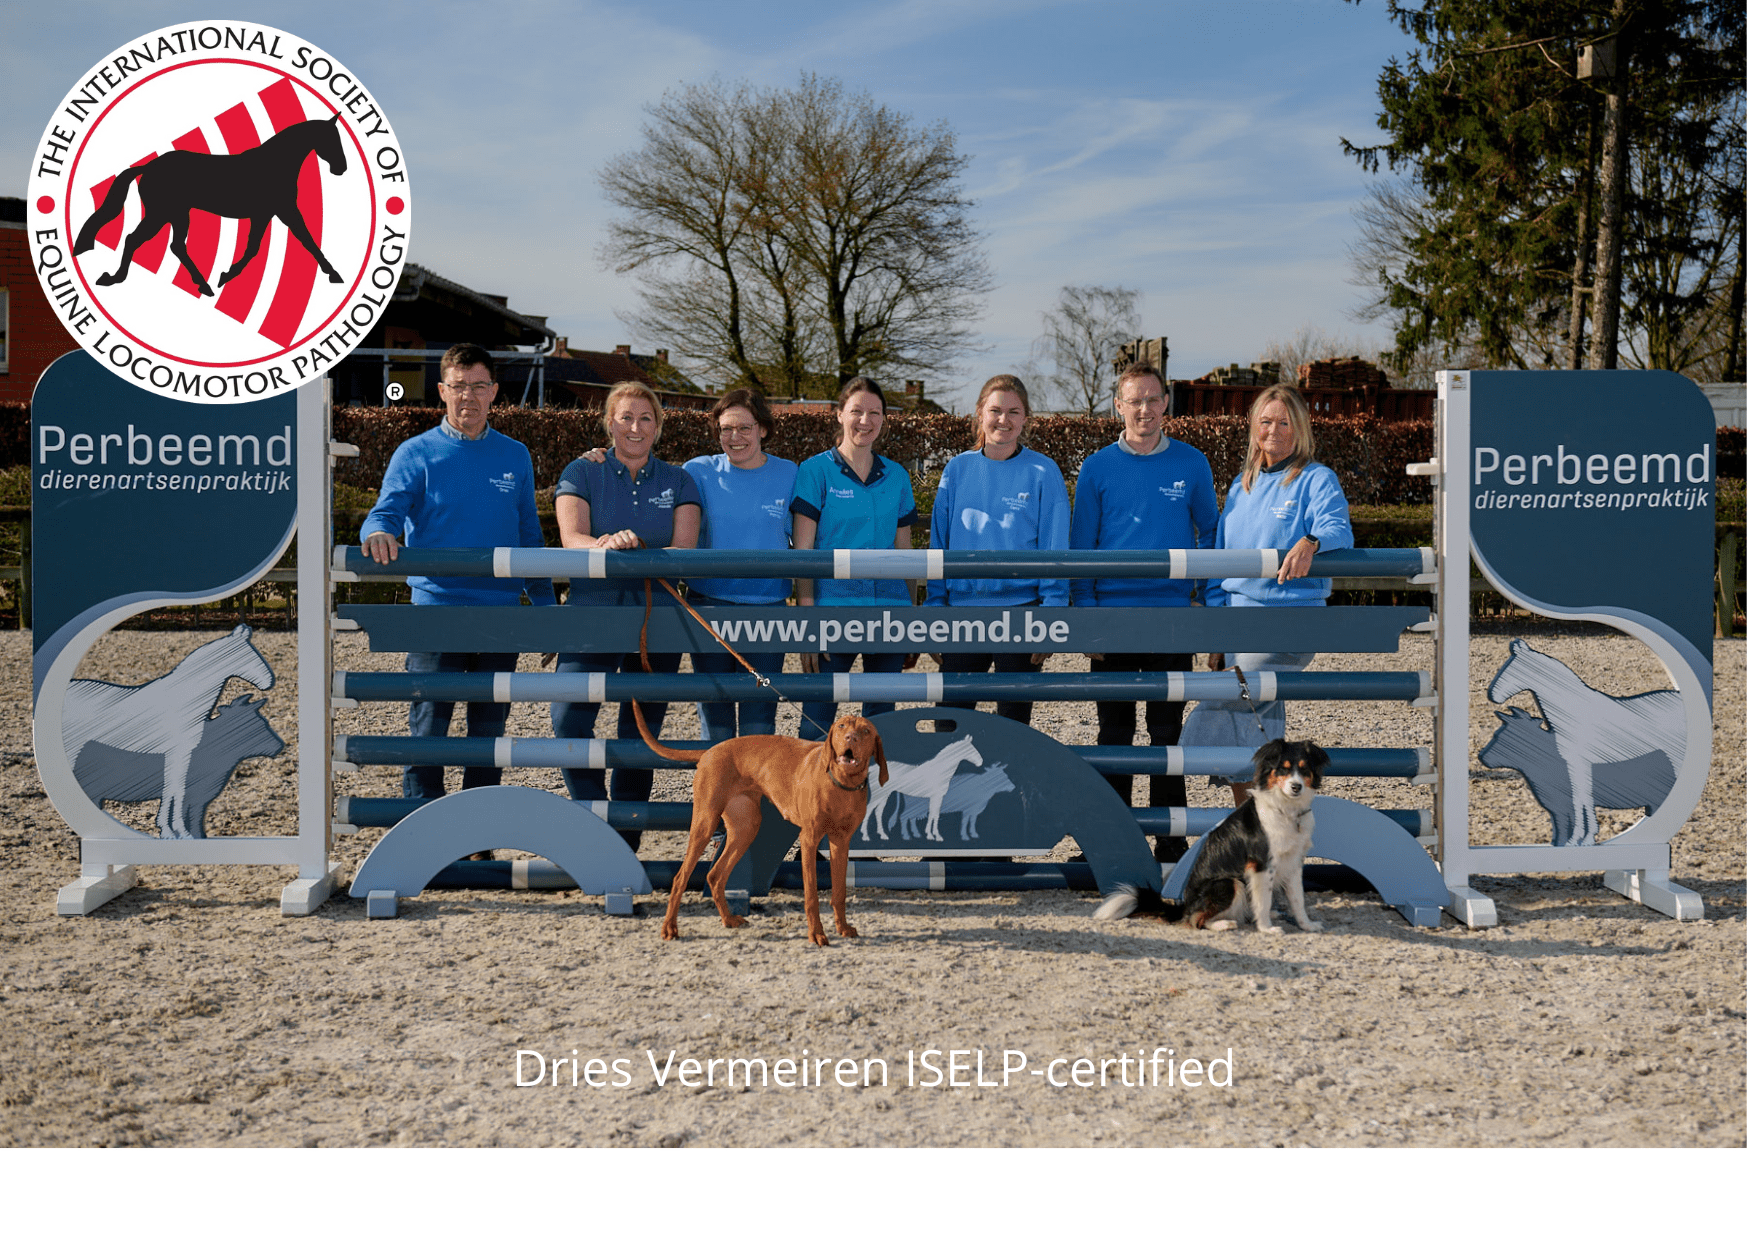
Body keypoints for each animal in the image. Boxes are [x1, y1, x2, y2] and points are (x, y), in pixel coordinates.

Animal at [73, 114, 348, 297]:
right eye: (332, 139)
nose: (341, 168)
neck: (275, 164)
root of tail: (149, 166)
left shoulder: (270, 214)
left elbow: (263, 246)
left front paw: (225, 275)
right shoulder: (279, 211)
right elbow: (301, 240)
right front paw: (334, 274)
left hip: (175, 214)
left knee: (173, 245)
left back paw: (203, 286)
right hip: (163, 214)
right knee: (137, 239)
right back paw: (116, 279)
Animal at [636, 704, 888, 947]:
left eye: (866, 731)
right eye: (842, 726)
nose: (850, 738)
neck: (841, 785)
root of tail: (710, 750)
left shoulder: (841, 842)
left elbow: (839, 892)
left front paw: (842, 928)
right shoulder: (809, 839)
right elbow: (811, 896)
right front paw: (816, 934)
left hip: (746, 828)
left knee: (715, 876)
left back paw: (728, 919)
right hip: (705, 824)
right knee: (680, 878)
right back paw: (669, 928)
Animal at [1094, 739, 1329, 933]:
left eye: (1304, 769)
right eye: (1283, 769)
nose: (1296, 786)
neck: (1286, 810)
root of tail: (1185, 906)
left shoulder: (1294, 862)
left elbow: (1297, 899)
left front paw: (1307, 926)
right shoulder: (1260, 864)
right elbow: (1263, 900)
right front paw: (1267, 929)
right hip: (1230, 882)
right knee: (1196, 919)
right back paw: (1224, 924)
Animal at [1486, 639, 1685, 848]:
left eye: (1512, 669)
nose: (1493, 696)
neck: (1574, 712)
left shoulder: (1581, 762)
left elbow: (1583, 797)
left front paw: (1584, 838)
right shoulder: (1574, 764)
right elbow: (1580, 798)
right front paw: (1578, 839)